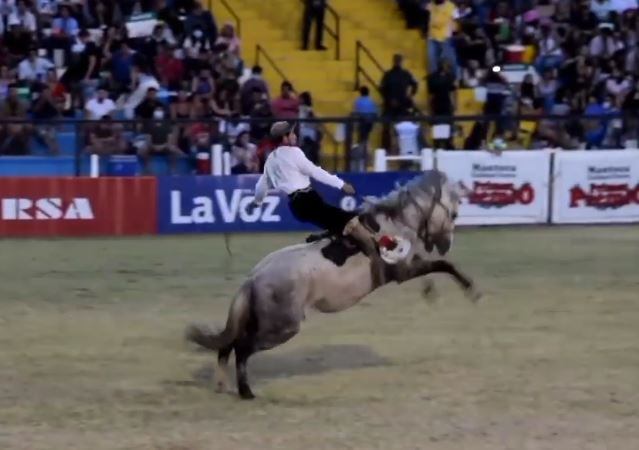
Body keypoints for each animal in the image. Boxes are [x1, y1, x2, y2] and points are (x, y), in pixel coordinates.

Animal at [188, 168, 482, 398]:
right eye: (454, 214)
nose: (446, 244)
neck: (393, 226)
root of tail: (254, 277)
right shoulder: (402, 270)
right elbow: (442, 265)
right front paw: (470, 290)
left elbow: (435, 267)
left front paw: (434, 291)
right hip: (281, 327)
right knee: (242, 348)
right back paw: (246, 391)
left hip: (258, 320)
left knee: (227, 345)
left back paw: (222, 385)